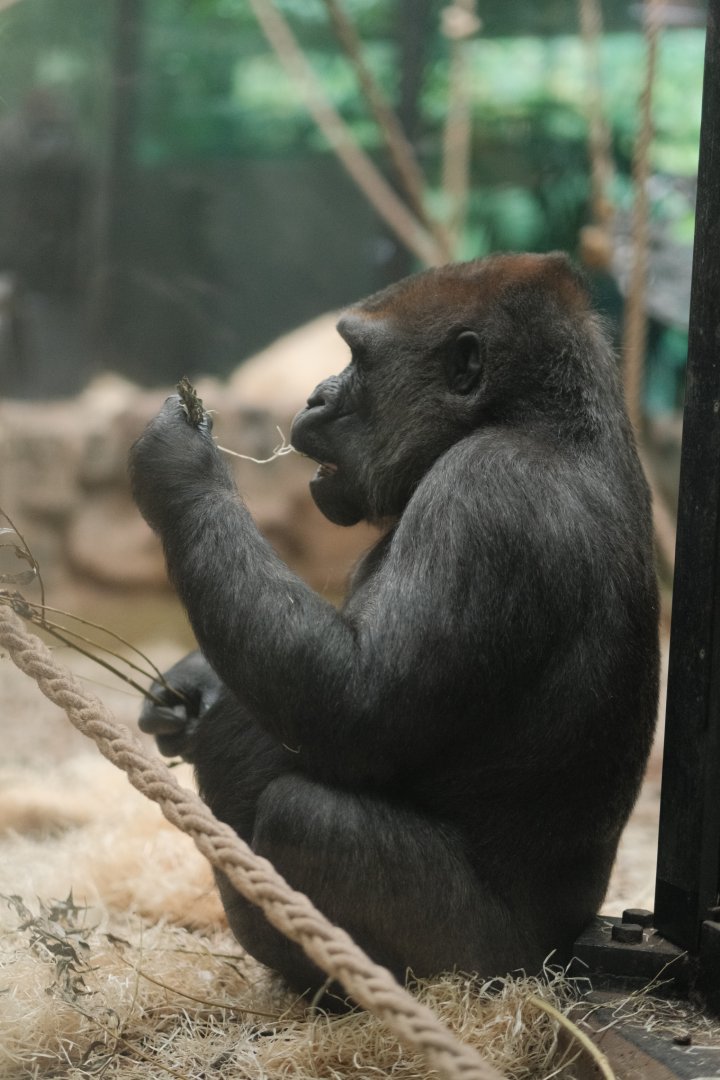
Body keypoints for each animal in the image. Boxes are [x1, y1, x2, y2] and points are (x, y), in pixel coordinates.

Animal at [130, 253, 659, 1007]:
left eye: (356, 356)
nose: (316, 396)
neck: (544, 419)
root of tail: (561, 954)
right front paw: (193, 686)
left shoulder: (485, 490)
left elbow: (357, 704)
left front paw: (182, 470)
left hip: (486, 966)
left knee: (308, 817)